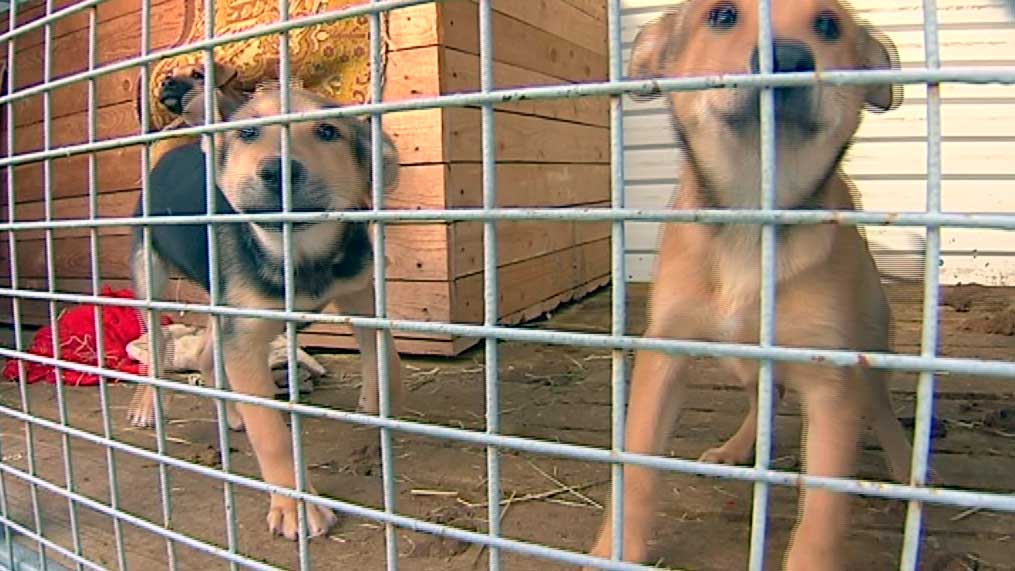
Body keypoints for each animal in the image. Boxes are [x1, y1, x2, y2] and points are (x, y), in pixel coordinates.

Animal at [126, 85, 404, 540]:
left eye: (327, 131)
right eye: (248, 132)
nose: (278, 171)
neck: (300, 251)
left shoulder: (360, 290)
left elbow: (385, 352)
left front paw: (379, 399)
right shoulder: (244, 337)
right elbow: (270, 432)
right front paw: (296, 505)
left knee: (206, 354)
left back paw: (230, 411)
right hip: (150, 270)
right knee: (156, 342)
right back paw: (148, 404)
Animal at [586, 1, 919, 569]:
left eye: (828, 25)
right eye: (722, 15)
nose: (788, 59)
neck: (752, 212)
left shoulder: (832, 384)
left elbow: (822, 518)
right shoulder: (665, 354)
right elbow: (637, 468)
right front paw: (613, 549)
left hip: (869, 346)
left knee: (881, 407)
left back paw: (905, 471)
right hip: (741, 357)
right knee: (766, 394)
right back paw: (738, 449)